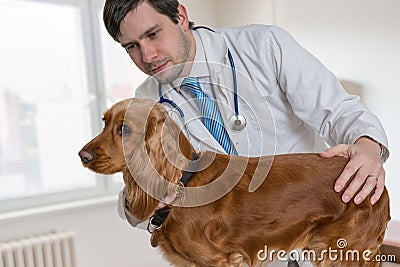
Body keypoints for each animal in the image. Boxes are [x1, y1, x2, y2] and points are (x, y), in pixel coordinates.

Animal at [79, 99, 390, 267]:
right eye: (104, 122)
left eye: (124, 129)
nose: (82, 155)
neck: (185, 181)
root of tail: (378, 183)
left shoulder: (219, 260)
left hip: (343, 251)